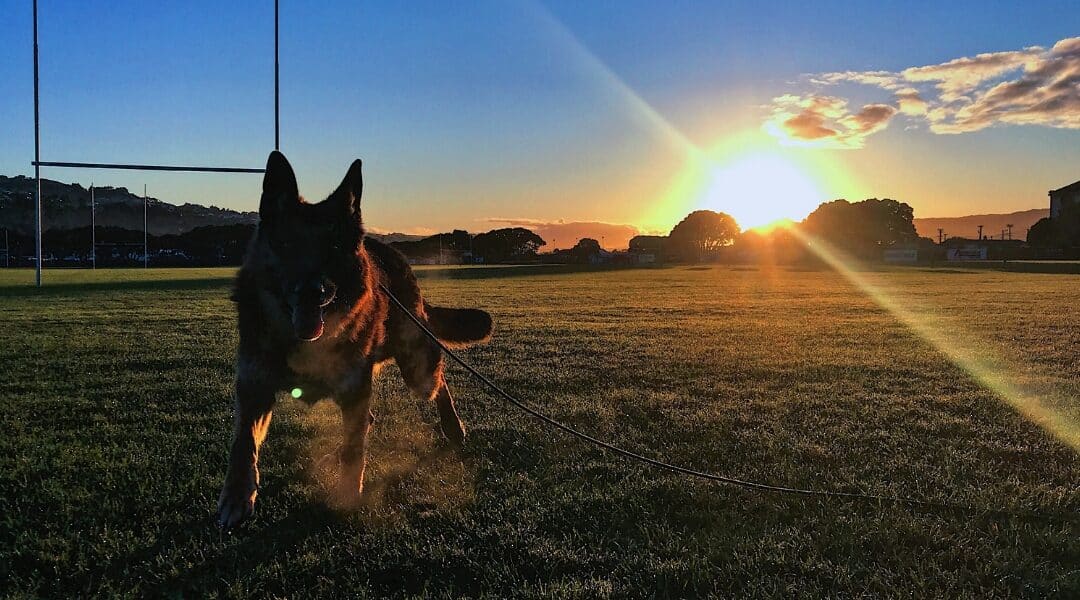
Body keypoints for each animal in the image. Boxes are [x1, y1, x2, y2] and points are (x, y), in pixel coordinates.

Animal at [216, 151, 494, 528]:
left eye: (333, 247)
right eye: (287, 244)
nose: (313, 292)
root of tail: (390, 253)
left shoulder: (354, 392)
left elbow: (354, 450)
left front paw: (348, 494)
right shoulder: (254, 387)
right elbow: (243, 444)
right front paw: (237, 496)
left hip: (416, 369)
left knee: (437, 383)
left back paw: (452, 426)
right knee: (371, 418)